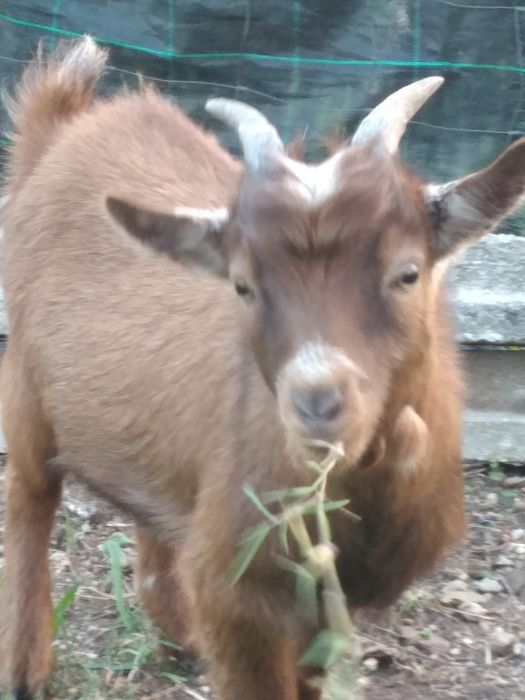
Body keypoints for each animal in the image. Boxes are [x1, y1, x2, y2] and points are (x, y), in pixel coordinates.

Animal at [1, 37, 524, 700]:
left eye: (408, 273)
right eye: (243, 285)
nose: (317, 403)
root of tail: (60, 131)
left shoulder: (325, 594)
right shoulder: (236, 592)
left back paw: (176, 638)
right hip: (25, 383)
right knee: (29, 498)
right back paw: (25, 667)